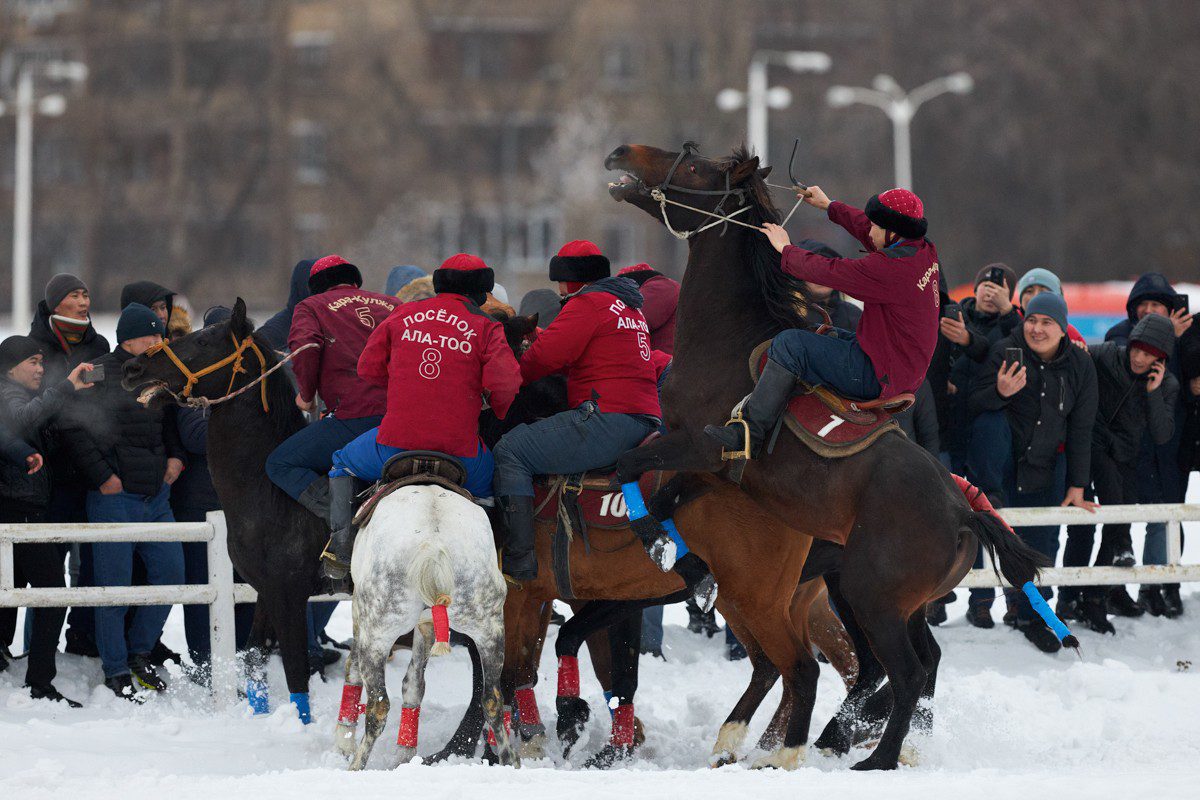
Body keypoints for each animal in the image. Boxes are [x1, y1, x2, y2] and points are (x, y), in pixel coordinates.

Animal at [604, 142, 1046, 767]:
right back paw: (857, 736)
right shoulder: (702, 464)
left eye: (692, 165)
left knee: (905, 672)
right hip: (887, 601)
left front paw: (652, 536)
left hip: (871, 598)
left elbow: (633, 465)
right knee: (918, 663)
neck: (728, 340)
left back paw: (870, 754)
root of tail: (963, 510)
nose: (623, 152)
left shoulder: (697, 443)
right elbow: (666, 489)